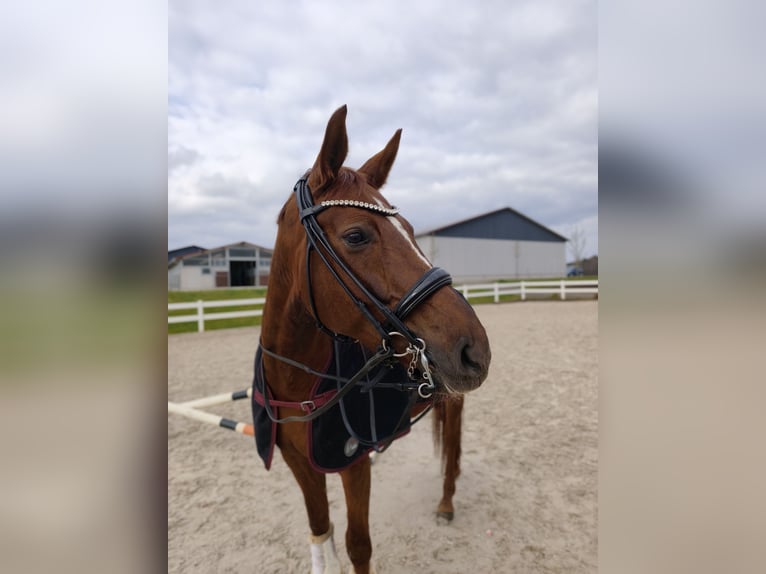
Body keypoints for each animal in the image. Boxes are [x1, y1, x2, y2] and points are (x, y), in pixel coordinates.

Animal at [252, 105, 491, 574]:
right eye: (356, 235)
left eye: (412, 230)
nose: (475, 350)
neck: (299, 383)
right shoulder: (299, 463)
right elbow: (320, 533)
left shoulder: (353, 464)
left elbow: (357, 544)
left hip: (453, 401)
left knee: (452, 449)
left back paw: (446, 502)